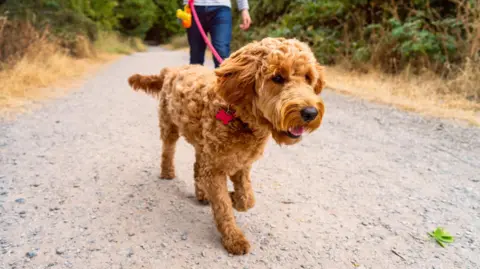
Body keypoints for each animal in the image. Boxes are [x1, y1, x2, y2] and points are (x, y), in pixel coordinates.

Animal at [127, 37, 326, 253]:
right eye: (278, 77)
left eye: (308, 77)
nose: (310, 113)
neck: (239, 116)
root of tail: (171, 70)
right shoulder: (215, 169)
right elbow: (223, 206)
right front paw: (234, 238)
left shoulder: (242, 165)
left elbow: (247, 200)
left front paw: (233, 197)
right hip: (170, 125)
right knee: (168, 150)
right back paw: (167, 172)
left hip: (202, 145)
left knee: (197, 167)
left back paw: (202, 193)